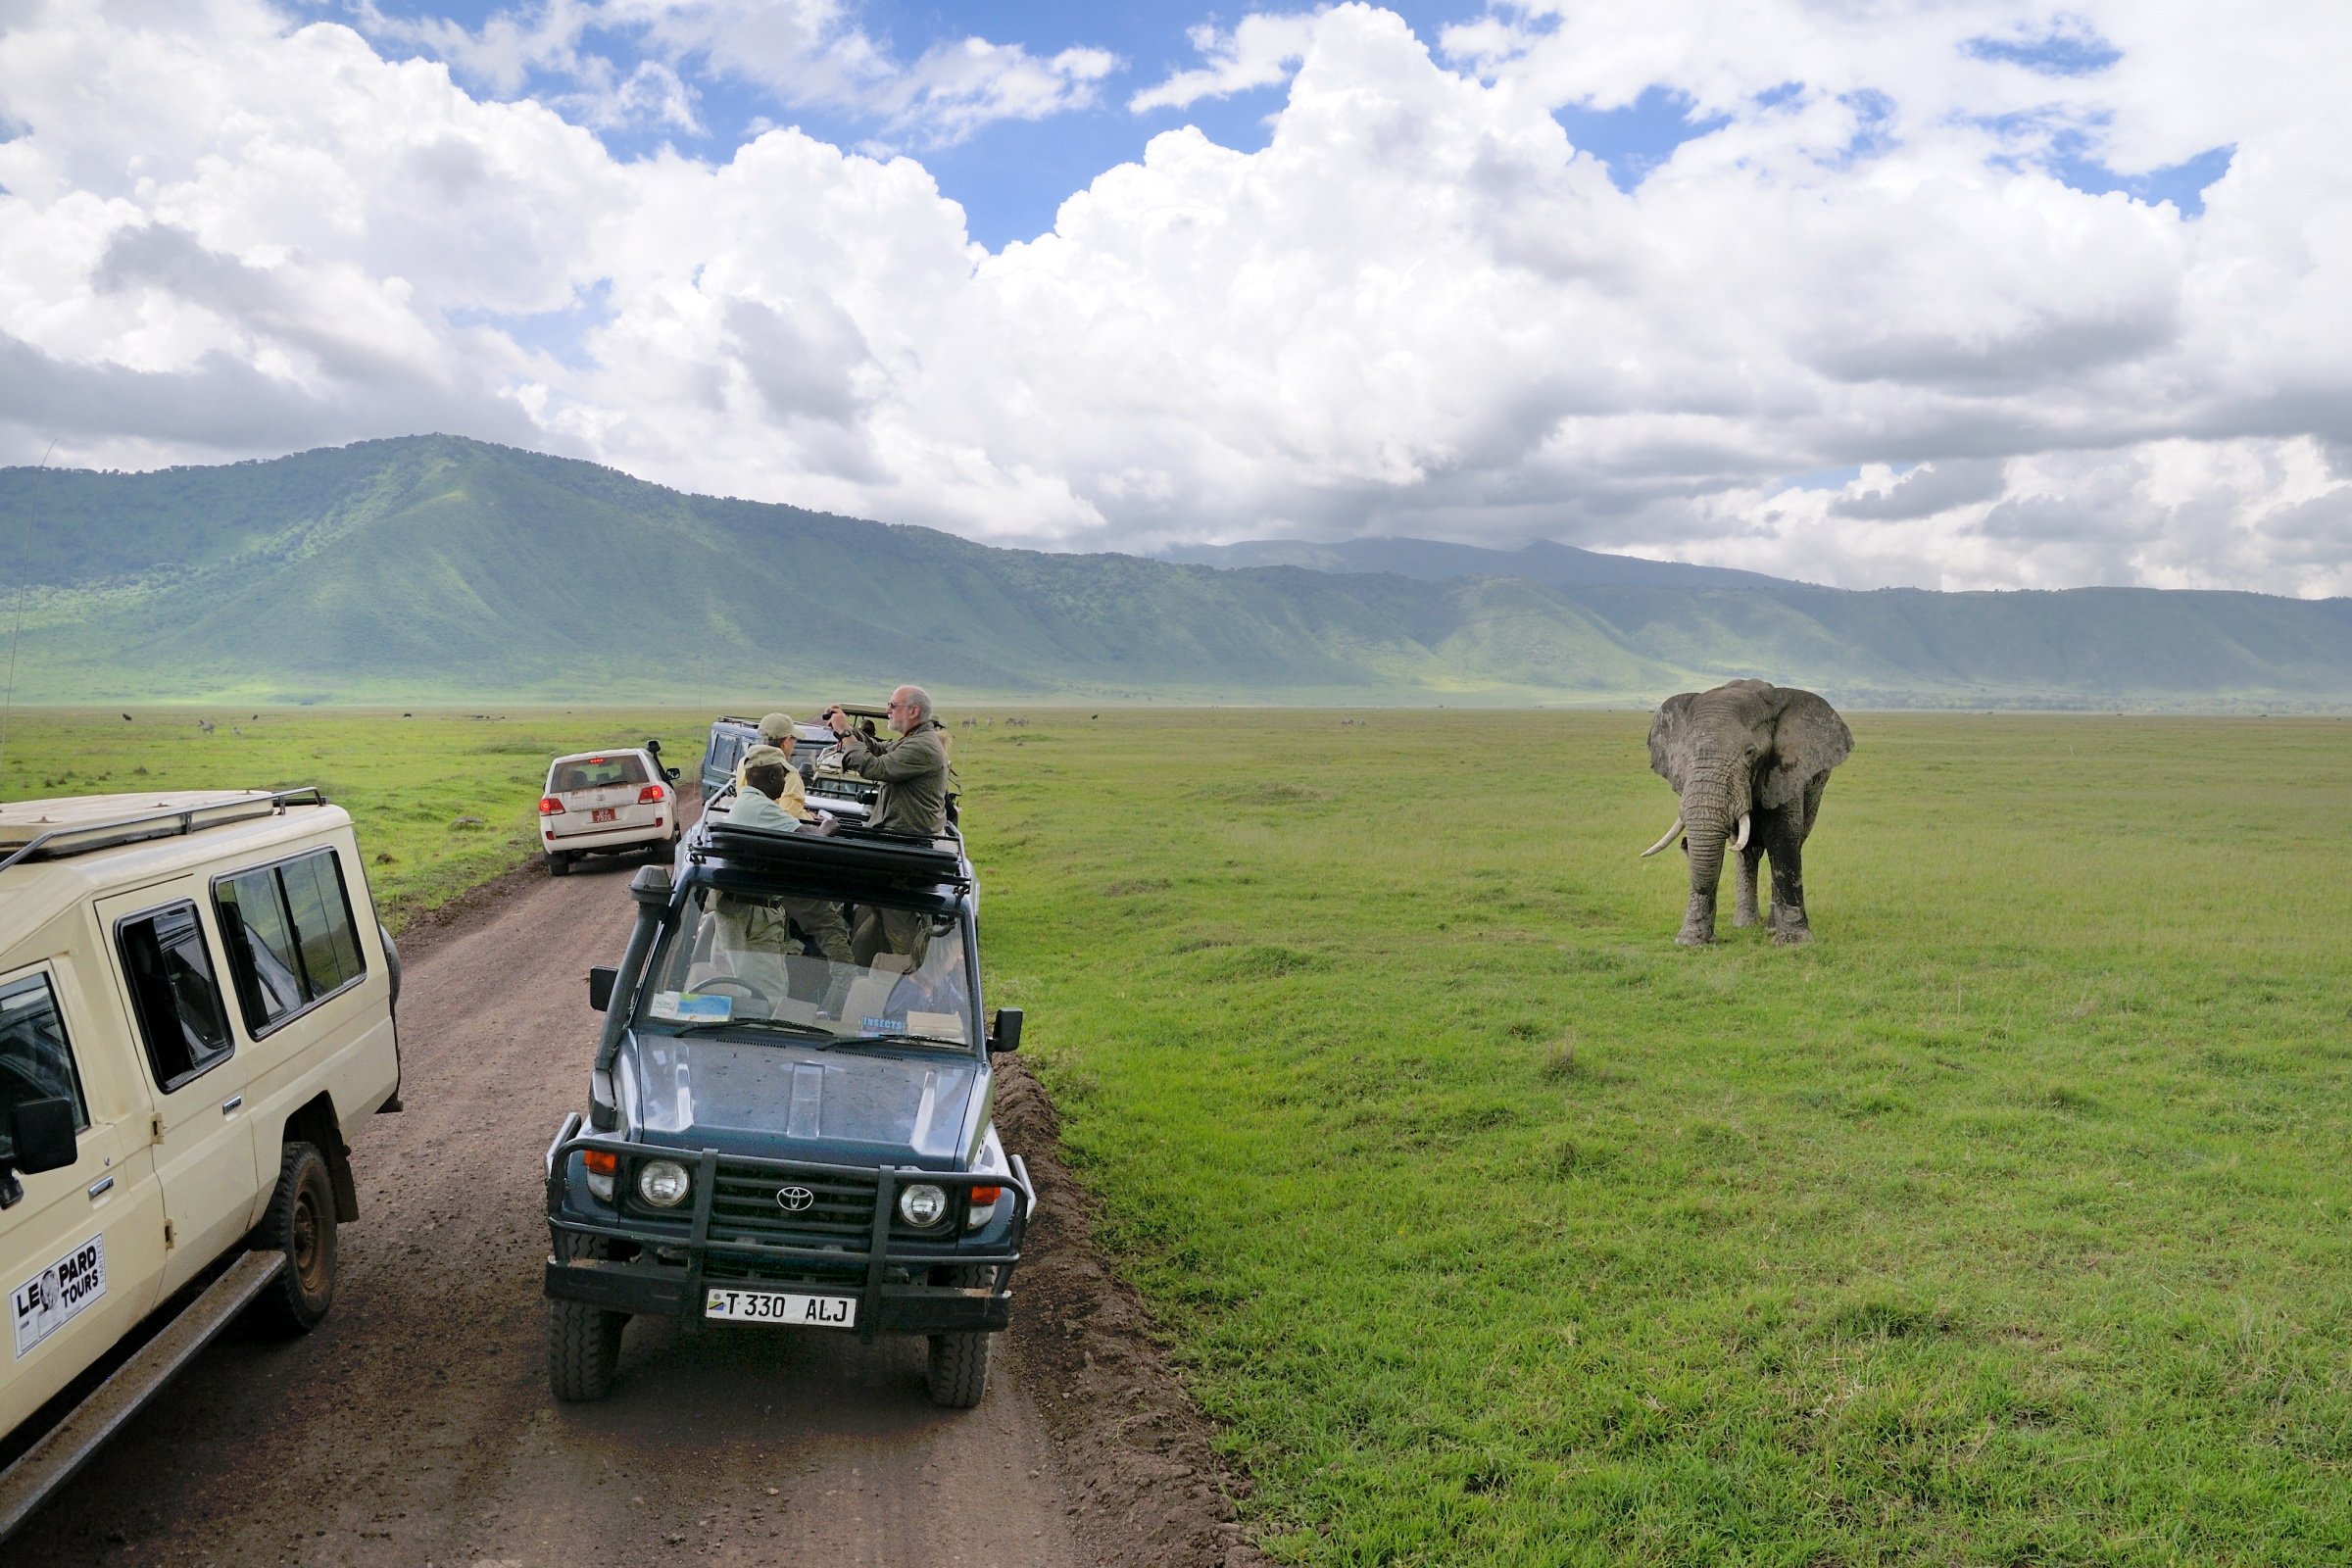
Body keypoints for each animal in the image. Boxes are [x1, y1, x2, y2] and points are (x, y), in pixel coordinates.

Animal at [1646, 676, 1843, 945]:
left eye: (1750, 753)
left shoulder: (1785, 770)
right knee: (1746, 853)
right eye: (1685, 755)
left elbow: (1783, 839)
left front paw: (1795, 943)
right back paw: (1746, 925)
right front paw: (1691, 942)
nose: (1684, 844)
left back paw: (1770, 927)